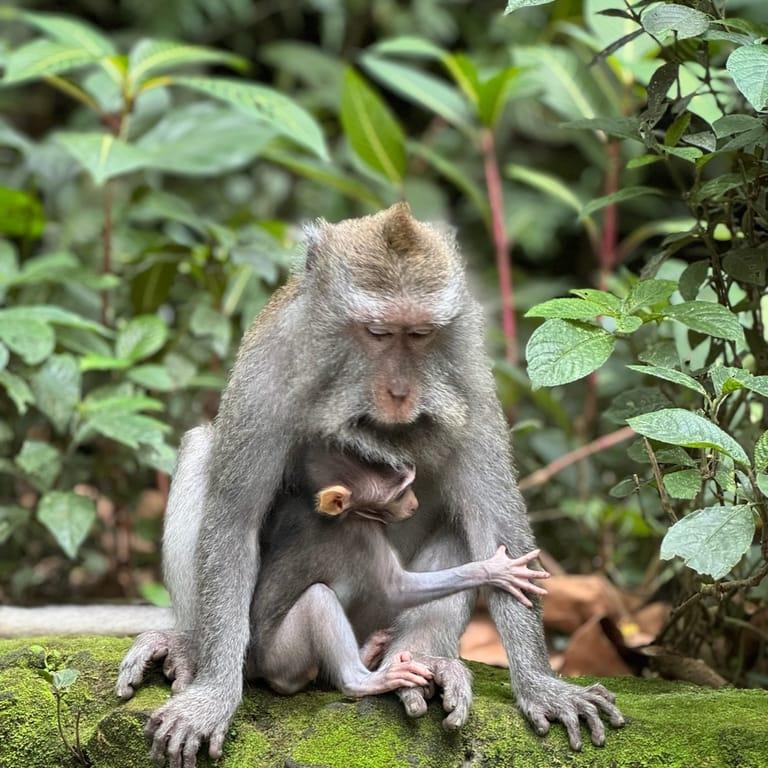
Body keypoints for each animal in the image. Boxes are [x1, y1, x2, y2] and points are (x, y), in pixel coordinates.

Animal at [119, 203, 624, 767]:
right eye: (378, 333)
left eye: (421, 334)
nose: (401, 392)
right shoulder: (268, 371)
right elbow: (234, 520)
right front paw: (212, 696)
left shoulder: (468, 376)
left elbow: (493, 521)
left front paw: (540, 683)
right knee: (203, 446)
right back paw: (192, 644)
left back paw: (425, 660)